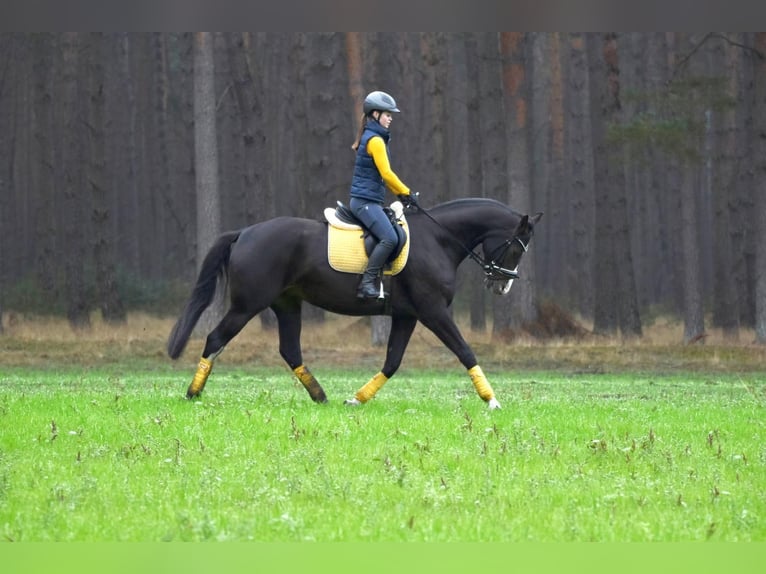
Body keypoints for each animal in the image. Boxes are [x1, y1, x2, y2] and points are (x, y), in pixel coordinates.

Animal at [167, 198, 543, 410]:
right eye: (516, 246)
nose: (502, 284)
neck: (438, 240)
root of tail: (245, 232)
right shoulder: (433, 312)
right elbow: (465, 351)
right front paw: (491, 399)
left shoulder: (407, 316)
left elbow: (392, 362)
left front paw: (357, 399)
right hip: (247, 305)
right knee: (216, 339)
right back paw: (193, 393)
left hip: (287, 304)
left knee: (290, 350)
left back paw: (321, 397)